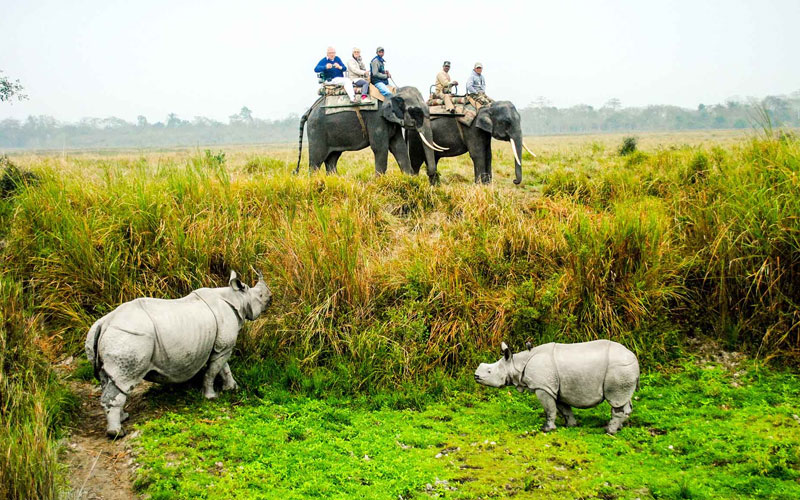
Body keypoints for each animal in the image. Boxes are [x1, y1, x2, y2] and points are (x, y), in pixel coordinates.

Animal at [85, 270, 272, 438]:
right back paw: (117, 433)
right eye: (261, 295)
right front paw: (211, 396)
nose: (271, 297)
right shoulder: (224, 345)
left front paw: (232, 388)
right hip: (130, 338)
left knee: (110, 380)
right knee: (124, 380)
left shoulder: (222, 345)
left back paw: (124, 418)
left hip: (113, 338)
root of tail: (104, 324)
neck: (237, 297)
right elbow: (212, 371)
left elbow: (224, 368)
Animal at [296, 85, 440, 184]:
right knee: (316, 160)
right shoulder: (376, 118)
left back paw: (336, 180)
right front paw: (379, 182)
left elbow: (399, 147)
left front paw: (409, 180)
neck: (393, 91)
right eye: (416, 112)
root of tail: (309, 110)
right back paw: (315, 182)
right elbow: (380, 148)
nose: (431, 174)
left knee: (332, 158)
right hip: (317, 130)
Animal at [476, 340, 636, 434]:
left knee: (616, 400)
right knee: (624, 400)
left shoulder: (543, 387)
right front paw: (570, 425)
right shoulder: (555, 388)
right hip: (625, 371)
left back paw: (609, 431)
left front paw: (546, 429)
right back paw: (617, 428)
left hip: (619, 368)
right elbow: (563, 409)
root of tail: (635, 358)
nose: (476, 376)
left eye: (489, 371)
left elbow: (550, 409)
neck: (516, 363)